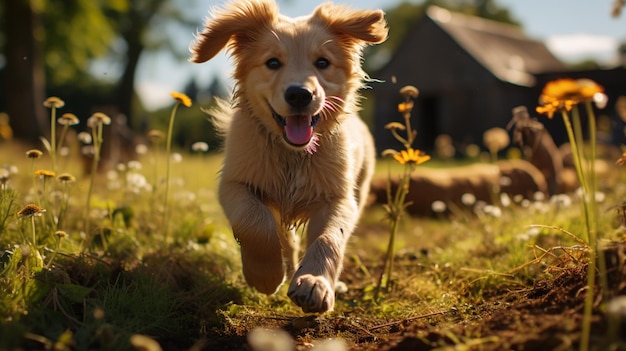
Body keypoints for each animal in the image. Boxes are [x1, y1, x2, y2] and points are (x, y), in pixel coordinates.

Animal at [189, 0, 386, 314]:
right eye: (272, 63)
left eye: (322, 62)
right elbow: (255, 222)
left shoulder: (339, 198)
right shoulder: (234, 184)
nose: (299, 95)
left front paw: (314, 283)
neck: (292, 153)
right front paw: (266, 276)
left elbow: (329, 238)